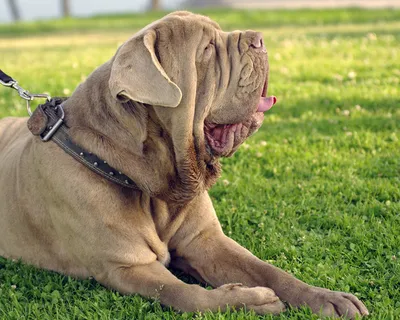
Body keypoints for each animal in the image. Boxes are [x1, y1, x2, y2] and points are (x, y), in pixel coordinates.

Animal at [0, 11, 368, 318]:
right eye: (207, 49)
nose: (260, 38)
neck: (155, 181)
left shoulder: (205, 241)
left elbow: (267, 269)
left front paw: (325, 297)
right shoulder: (126, 266)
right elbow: (186, 294)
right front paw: (249, 300)